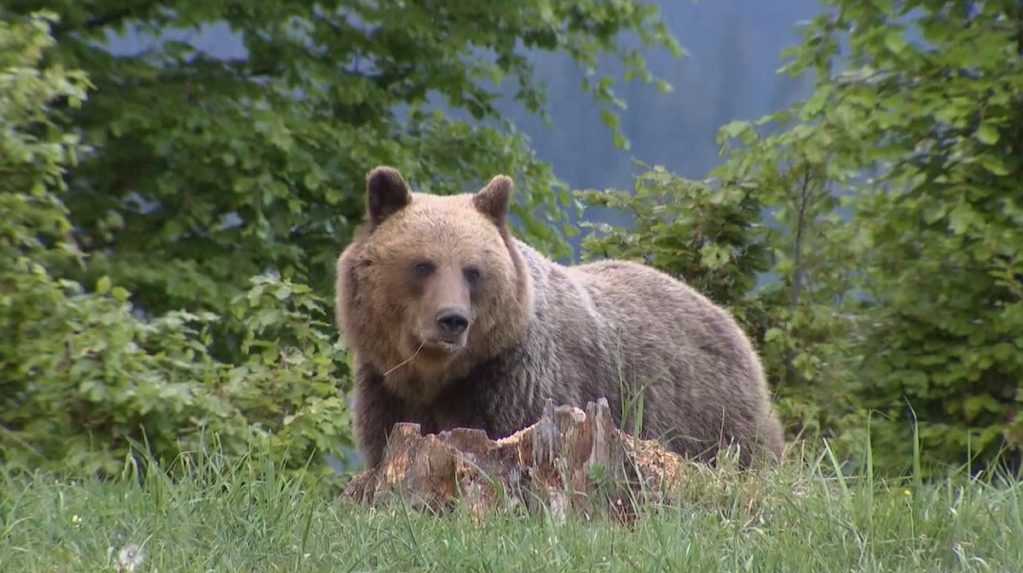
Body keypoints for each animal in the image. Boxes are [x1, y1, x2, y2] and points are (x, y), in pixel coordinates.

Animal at [335, 165, 781, 470]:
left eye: (472, 270)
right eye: (423, 265)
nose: (452, 320)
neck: (438, 378)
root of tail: (725, 316)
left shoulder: (518, 388)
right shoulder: (387, 391)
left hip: (711, 415)